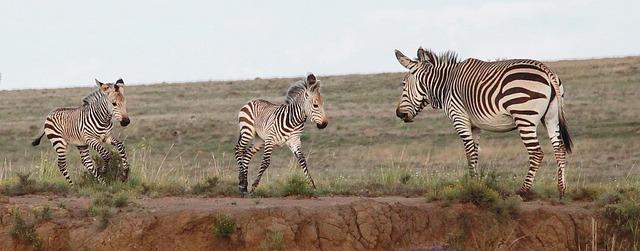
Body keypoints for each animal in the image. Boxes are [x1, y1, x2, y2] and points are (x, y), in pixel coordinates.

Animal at [396, 48, 576, 199]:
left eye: (403, 84)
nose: (399, 114)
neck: (446, 84)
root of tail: (546, 70)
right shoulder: (475, 126)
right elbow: (475, 154)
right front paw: (476, 182)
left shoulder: (459, 118)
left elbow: (469, 153)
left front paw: (472, 184)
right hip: (551, 117)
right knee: (559, 149)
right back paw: (561, 189)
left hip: (524, 116)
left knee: (536, 153)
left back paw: (523, 190)